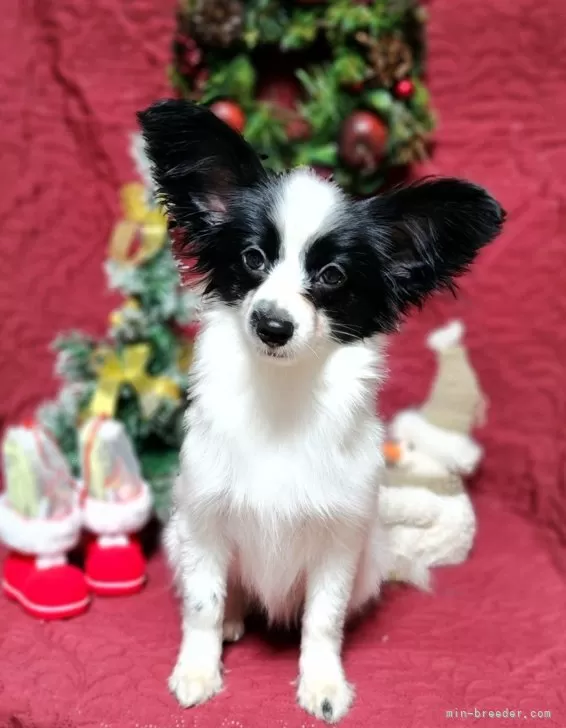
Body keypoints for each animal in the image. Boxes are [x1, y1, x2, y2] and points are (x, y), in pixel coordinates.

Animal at [138, 101, 506, 724]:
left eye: (332, 276)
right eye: (253, 258)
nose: (271, 324)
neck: (284, 396)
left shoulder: (340, 540)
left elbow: (323, 619)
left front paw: (324, 683)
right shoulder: (204, 520)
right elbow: (203, 603)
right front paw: (197, 671)